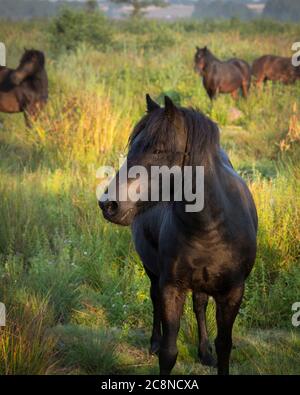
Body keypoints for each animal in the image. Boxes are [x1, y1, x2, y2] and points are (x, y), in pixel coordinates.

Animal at [99, 94, 258, 376]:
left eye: (158, 150)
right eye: (132, 147)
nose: (109, 204)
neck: (210, 226)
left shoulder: (233, 292)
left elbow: (224, 345)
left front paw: (211, 352)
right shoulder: (171, 286)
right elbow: (169, 351)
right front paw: (161, 346)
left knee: (200, 304)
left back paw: (204, 352)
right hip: (153, 271)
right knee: (155, 299)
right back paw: (154, 341)